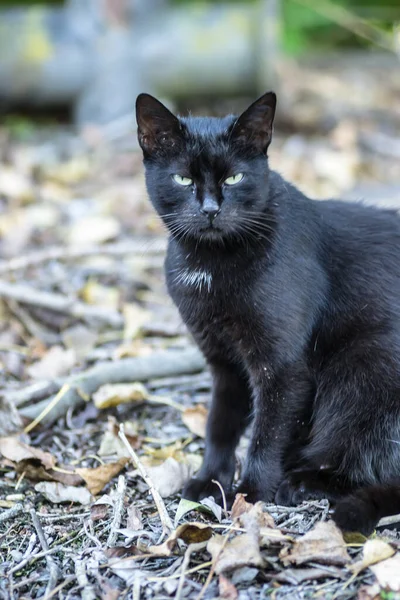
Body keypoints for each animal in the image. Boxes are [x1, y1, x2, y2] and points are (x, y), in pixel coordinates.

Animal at [136, 91, 400, 532]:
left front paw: (250, 493)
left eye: (234, 179)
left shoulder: (282, 366)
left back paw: (305, 482)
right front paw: (209, 481)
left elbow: (267, 432)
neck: (210, 265)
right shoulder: (223, 360)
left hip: (364, 367)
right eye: (183, 179)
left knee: (365, 454)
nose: (210, 209)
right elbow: (220, 424)